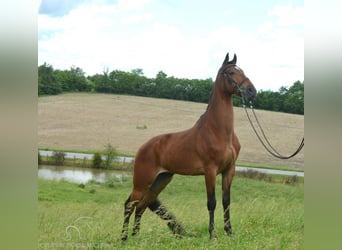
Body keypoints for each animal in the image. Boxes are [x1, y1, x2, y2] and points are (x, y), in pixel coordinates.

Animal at [120, 52, 256, 240]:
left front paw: (229, 232)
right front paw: (213, 235)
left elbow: (226, 201)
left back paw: (136, 236)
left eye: (242, 70)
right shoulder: (210, 171)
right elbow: (212, 202)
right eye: (231, 72)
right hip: (142, 181)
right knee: (130, 204)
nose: (252, 91)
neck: (220, 132)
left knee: (142, 205)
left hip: (160, 180)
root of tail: (143, 147)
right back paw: (124, 238)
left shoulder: (229, 170)